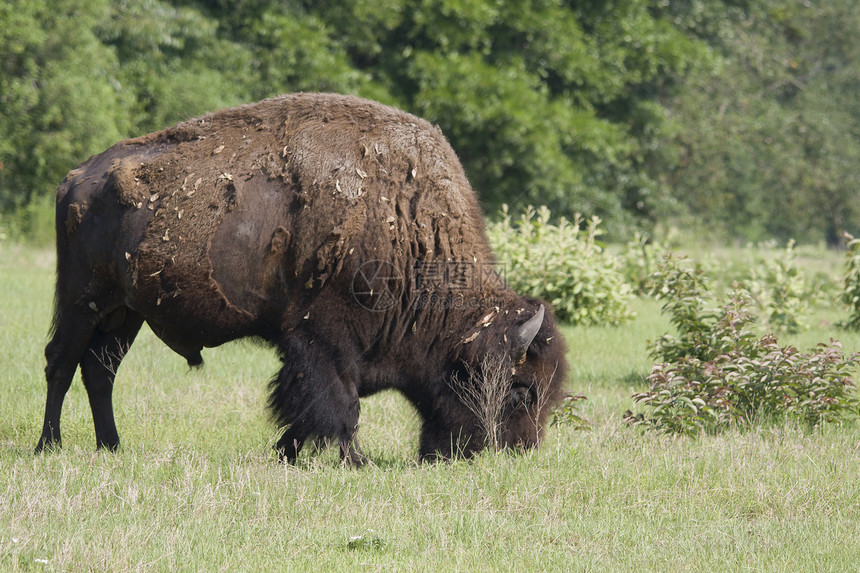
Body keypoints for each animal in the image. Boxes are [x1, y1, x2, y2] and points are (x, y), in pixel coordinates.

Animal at [37, 92, 568, 460]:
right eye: (522, 389)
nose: (517, 453)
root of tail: (77, 178)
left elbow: (314, 409)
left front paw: (285, 453)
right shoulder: (322, 339)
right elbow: (338, 404)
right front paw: (354, 461)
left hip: (124, 313)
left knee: (100, 370)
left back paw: (111, 446)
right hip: (82, 301)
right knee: (61, 363)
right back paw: (50, 445)